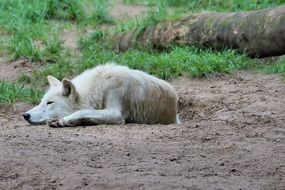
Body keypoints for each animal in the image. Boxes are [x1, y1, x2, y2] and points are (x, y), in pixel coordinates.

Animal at [23, 63, 179, 127]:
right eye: (41, 101)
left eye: (49, 103)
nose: (25, 115)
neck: (100, 85)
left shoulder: (116, 114)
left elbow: (82, 111)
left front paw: (62, 120)